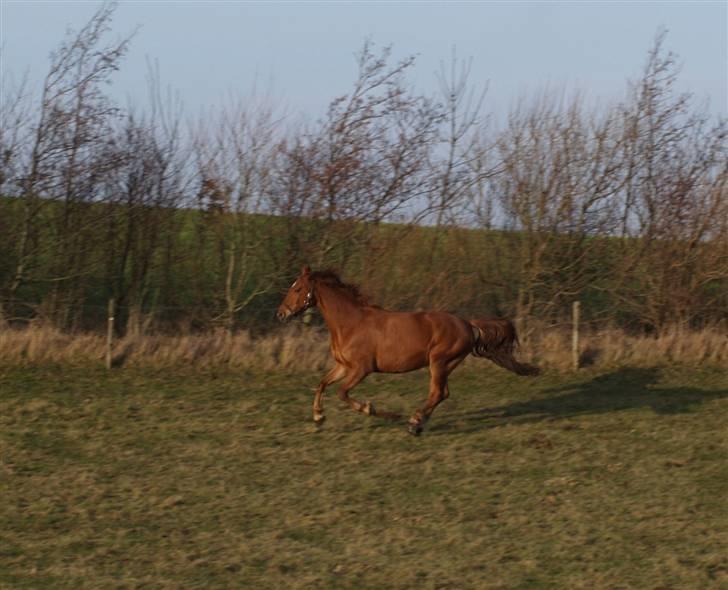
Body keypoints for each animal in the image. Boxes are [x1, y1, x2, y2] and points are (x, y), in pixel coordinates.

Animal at [276, 268, 536, 434]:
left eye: (297, 289)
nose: (281, 313)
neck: (351, 323)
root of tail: (468, 325)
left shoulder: (361, 369)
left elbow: (342, 393)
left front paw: (374, 410)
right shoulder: (343, 366)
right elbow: (322, 384)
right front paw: (318, 417)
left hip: (439, 361)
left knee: (438, 393)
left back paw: (413, 423)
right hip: (445, 364)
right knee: (441, 393)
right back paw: (418, 421)